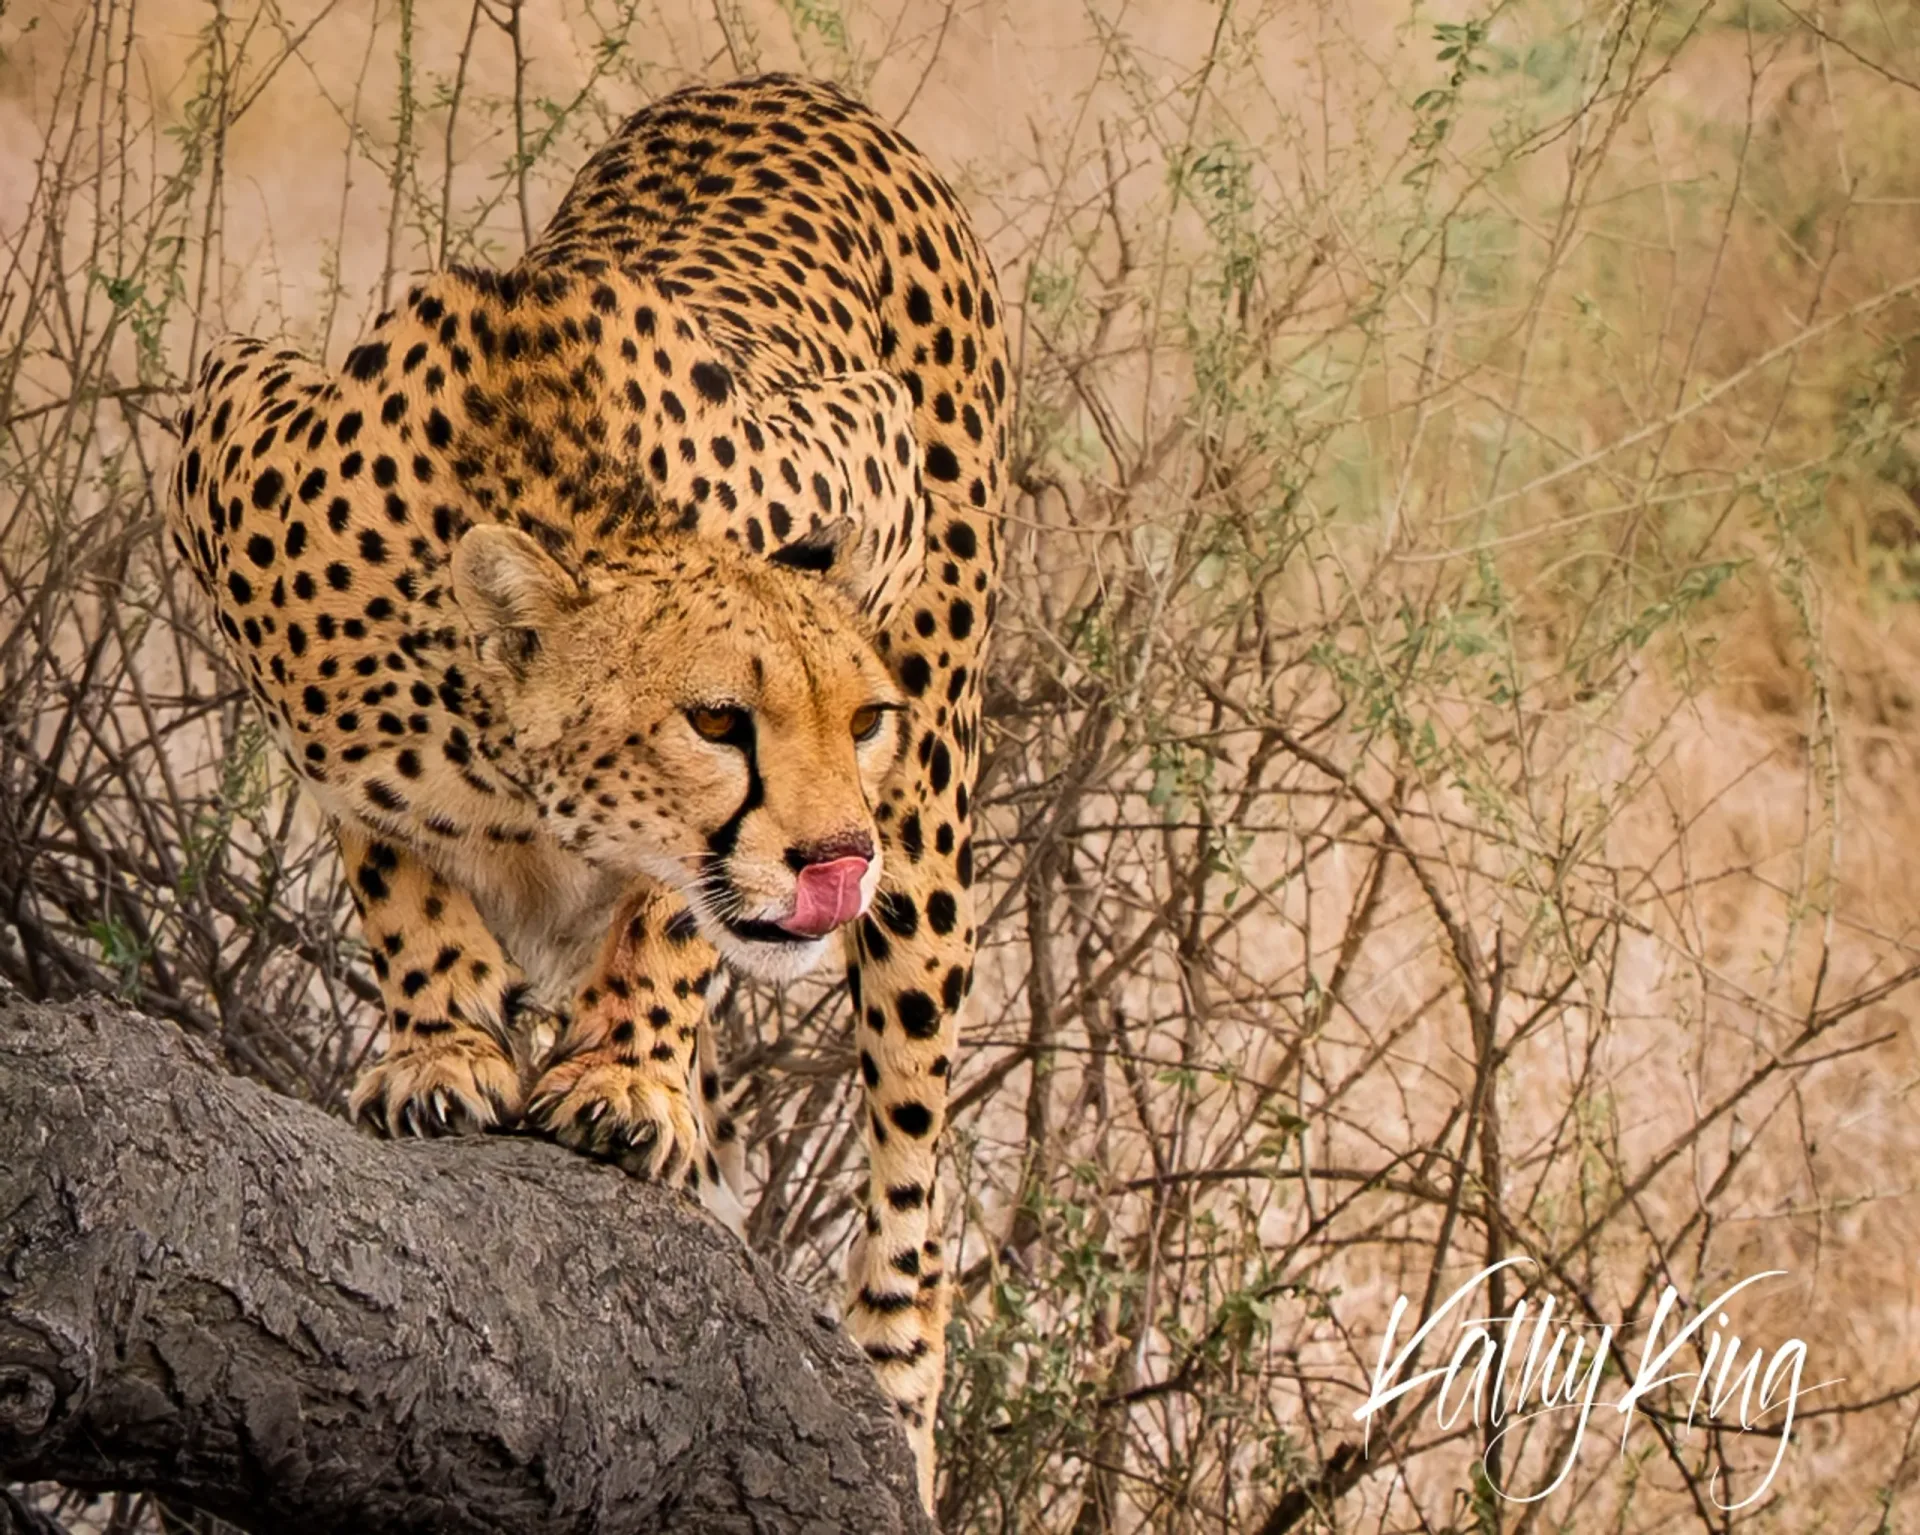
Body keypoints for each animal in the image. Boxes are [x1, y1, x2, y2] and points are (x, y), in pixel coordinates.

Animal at [164, 73, 1009, 1506]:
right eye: (718, 720)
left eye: (864, 717)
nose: (837, 858)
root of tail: (785, 82)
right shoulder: (231, 445)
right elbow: (391, 860)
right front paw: (444, 1044)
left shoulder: (870, 448)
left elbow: (671, 909)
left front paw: (621, 1073)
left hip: (935, 826)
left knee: (907, 1141)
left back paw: (893, 1396)